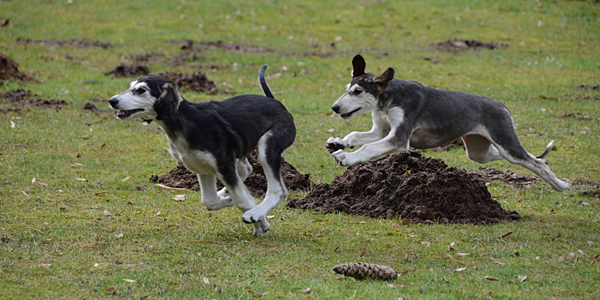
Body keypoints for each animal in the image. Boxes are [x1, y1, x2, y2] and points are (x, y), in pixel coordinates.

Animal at [110, 66, 298, 237]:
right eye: (131, 86)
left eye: (141, 90)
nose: (112, 101)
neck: (184, 121)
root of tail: (277, 103)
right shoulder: (203, 167)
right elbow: (210, 201)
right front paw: (231, 200)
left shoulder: (223, 165)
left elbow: (242, 200)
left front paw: (258, 219)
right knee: (246, 169)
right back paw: (227, 193)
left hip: (267, 148)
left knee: (278, 191)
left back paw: (255, 212)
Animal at [326, 55, 568, 192]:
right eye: (346, 89)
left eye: (357, 92)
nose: (335, 107)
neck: (388, 99)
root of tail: (501, 107)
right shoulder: (381, 130)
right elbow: (356, 136)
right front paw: (338, 143)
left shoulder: (398, 139)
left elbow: (368, 147)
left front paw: (346, 157)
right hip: (479, 151)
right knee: (523, 157)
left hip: (506, 143)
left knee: (537, 163)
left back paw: (561, 186)